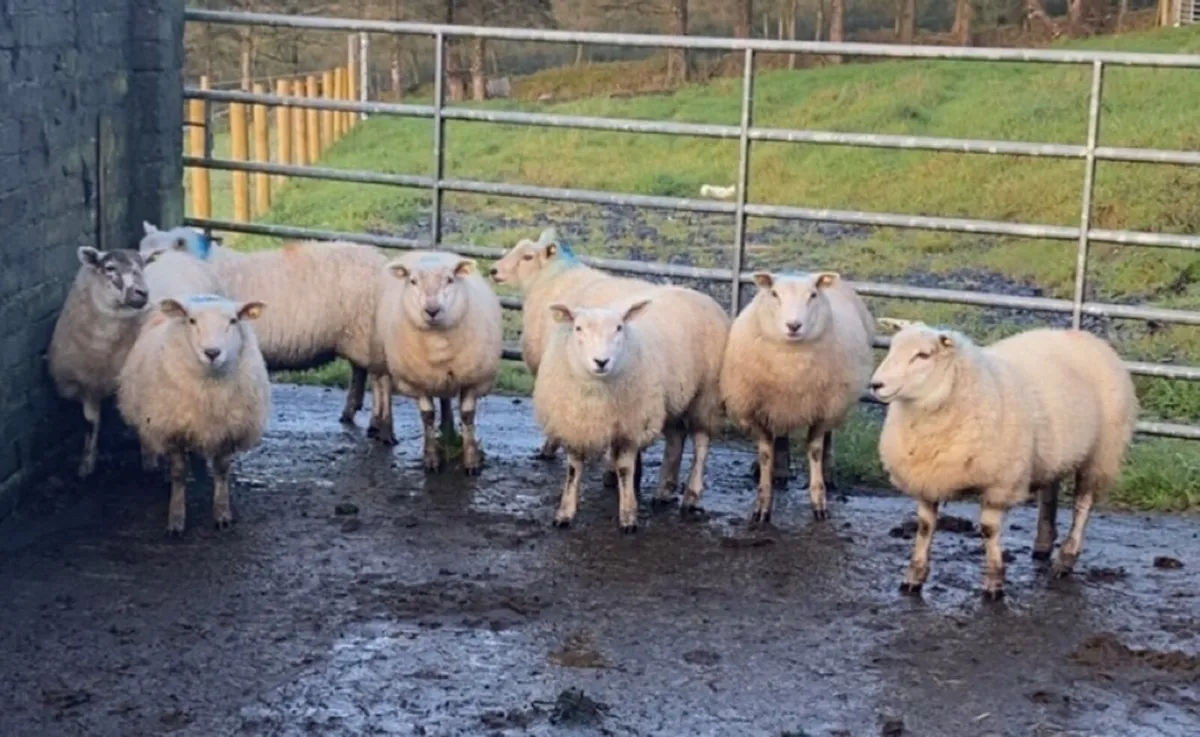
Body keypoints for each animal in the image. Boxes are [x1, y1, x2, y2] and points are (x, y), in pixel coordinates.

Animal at [47, 247, 152, 478]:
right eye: (110, 267)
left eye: (142, 266)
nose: (143, 293)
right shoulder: (86, 384)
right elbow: (91, 422)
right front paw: (87, 465)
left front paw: (149, 459)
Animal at [117, 294, 271, 536]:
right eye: (191, 321)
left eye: (233, 321)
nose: (212, 353)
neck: (209, 384)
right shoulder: (172, 431)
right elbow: (178, 474)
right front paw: (176, 519)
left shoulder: (226, 430)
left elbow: (222, 471)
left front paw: (222, 514)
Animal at [374, 250, 503, 475]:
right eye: (413, 281)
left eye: (450, 280)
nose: (432, 310)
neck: (438, 346)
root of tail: (430, 251)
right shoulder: (417, 382)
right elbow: (427, 416)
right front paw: (431, 458)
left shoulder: (474, 380)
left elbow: (467, 416)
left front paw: (471, 461)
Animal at [720, 271, 875, 526]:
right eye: (774, 294)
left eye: (812, 295)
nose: (793, 325)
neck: (790, 367)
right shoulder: (757, 410)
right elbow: (765, 454)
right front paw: (762, 506)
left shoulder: (823, 410)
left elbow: (815, 451)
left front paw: (819, 503)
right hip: (781, 405)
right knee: (782, 433)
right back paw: (781, 471)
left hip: (833, 402)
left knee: (828, 438)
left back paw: (828, 473)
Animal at [869, 321, 1138, 601]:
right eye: (892, 348)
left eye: (923, 355)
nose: (876, 385)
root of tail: (1086, 337)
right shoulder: (927, 478)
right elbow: (924, 527)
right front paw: (914, 577)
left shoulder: (1000, 482)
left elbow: (989, 530)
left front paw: (994, 583)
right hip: (1054, 450)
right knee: (1049, 492)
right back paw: (1043, 544)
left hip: (1101, 452)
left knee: (1083, 505)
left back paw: (1066, 558)